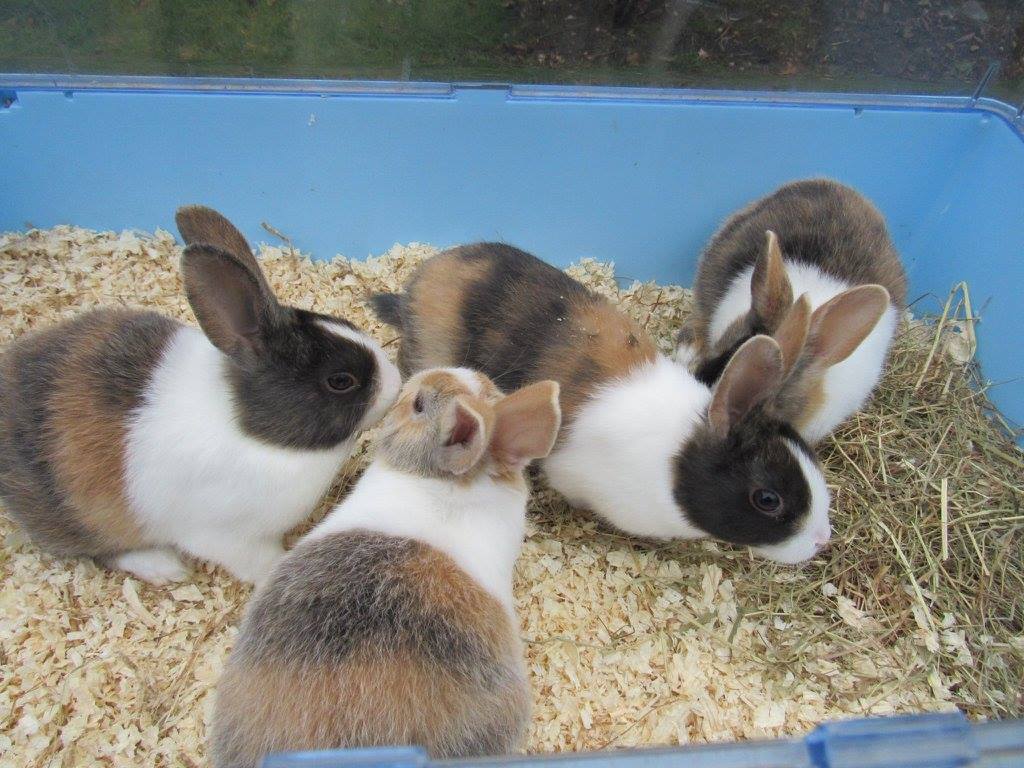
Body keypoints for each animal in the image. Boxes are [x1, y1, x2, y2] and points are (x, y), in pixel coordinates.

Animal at [0, 205, 401, 585]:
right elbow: (264, 563)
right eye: (340, 381)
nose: (396, 384)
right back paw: (164, 568)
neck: (258, 434)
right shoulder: (229, 537)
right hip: (85, 518)